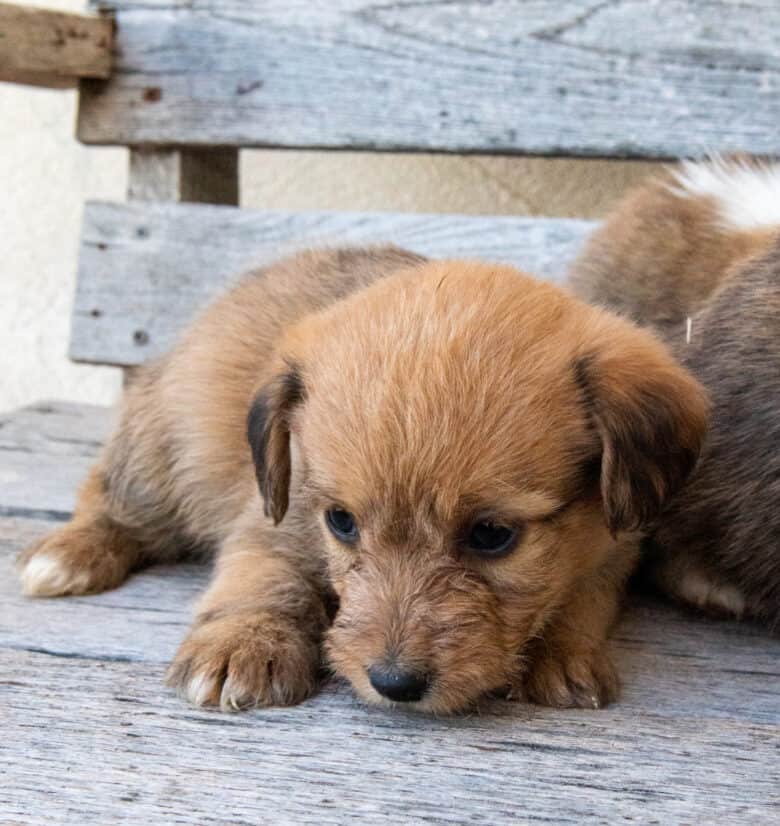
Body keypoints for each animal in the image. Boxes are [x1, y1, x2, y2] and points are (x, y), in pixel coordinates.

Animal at [16, 245, 708, 708]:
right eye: (342, 523)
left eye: (492, 535)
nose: (393, 684)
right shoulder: (272, 523)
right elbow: (262, 581)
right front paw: (244, 643)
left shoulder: (615, 547)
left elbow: (584, 597)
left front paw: (564, 654)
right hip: (159, 459)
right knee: (107, 498)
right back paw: (69, 552)